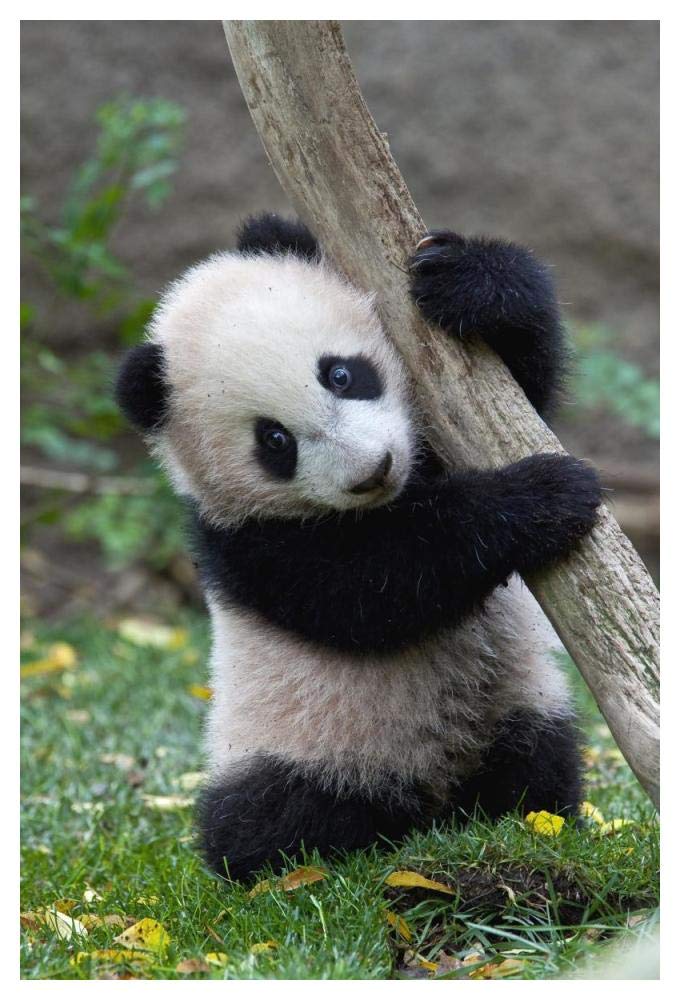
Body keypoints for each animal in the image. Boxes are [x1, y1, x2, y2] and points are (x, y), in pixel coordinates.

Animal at [116, 212, 601, 881]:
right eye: (274, 440)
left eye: (341, 374)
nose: (372, 470)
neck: (398, 495)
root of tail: (429, 802)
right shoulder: (248, 543)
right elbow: (374, 588)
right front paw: (545, 495)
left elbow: (529, 388)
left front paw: (468, 282)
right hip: (299, 743)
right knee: (265, 815)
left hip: (519, 706)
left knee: (538, 763)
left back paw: (528, 817)